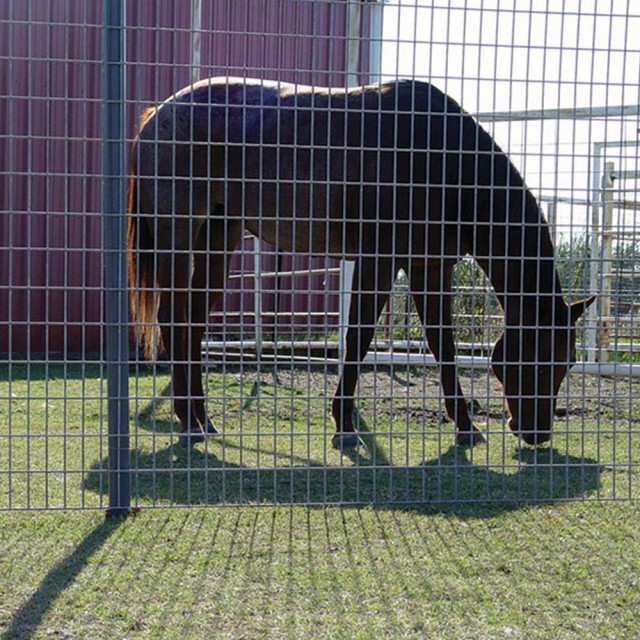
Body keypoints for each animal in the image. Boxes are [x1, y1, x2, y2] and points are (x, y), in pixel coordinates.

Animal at [127, 77, 596, 450]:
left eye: (569, 361)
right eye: (540, 359)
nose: (537, 432)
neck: (443, 158)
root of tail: (158, 114)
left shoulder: (429, 268)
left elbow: (442, 346)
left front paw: (465, 425)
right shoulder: (378, 262)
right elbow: (358, 338)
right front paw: (345, 425)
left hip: (219, 236)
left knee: (192, 322)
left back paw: (201, 417)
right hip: (179, 235)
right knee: (173, 317)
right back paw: (188, 420)